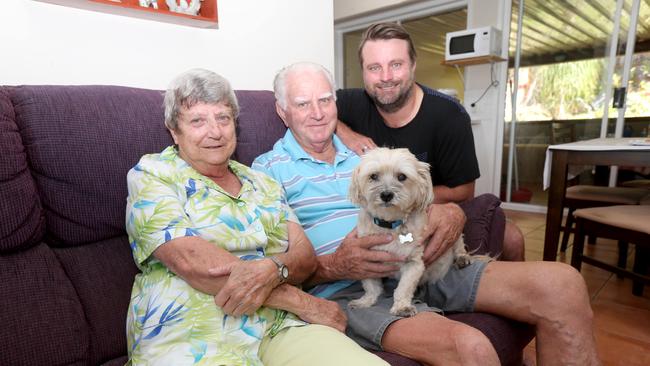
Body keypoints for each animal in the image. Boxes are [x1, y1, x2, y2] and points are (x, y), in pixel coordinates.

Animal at [350, 147, 470, 316]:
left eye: (402, 176)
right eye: (373, 176)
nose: (386, 195)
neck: (390, 224)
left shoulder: (413, 263)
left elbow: (404, 288)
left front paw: (401, 307)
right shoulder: (365, 260)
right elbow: (371, 286)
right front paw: (366, 301)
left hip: (455, 233)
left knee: (459, 244)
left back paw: (461, 258)